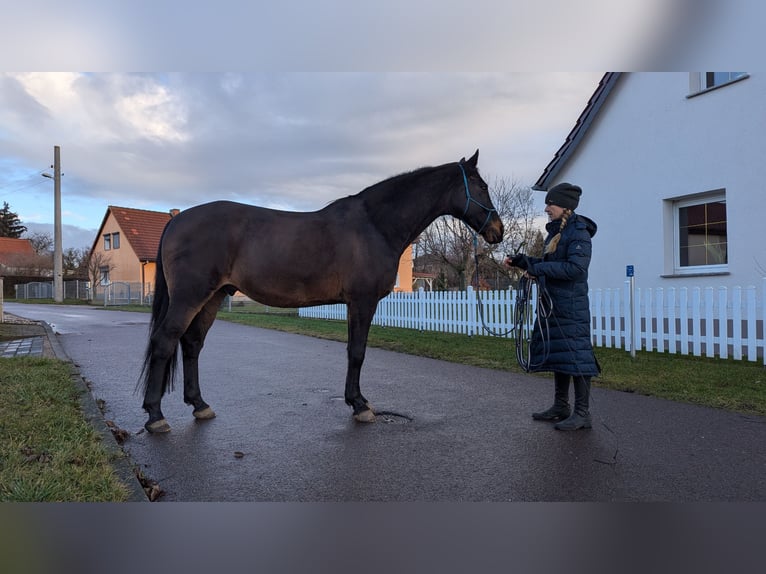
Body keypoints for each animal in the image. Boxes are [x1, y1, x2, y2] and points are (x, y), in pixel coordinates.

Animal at [141, 151, 508, 434]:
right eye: (482, 186)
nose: (498, 231)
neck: (375, 225)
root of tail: (176, 221)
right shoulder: (362, 301)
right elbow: (357, 352)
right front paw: (359, 405)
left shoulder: (354, 303)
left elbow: (353, 351)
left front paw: (356, 400)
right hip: (190, 296)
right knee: (165, 341)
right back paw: (156, 416)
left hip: (213, 297)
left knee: (192, 344)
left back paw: (199, 405)